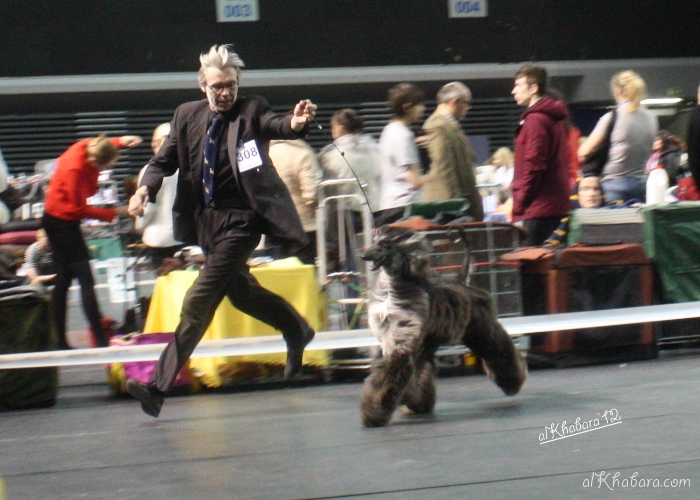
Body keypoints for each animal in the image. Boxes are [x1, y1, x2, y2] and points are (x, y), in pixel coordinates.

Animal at [359, 225, 527, 427]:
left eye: (384, 244)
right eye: (374, 241)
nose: (363, 256)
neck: (393, 290)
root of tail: (461, 281)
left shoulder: (402, 337)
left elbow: (390, 372)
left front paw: (374, 412)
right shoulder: (394, 338)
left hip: (480, 329)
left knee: (499, 349)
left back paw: (513, 383)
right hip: (432, 340)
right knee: (422, 368)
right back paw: (418, 402)